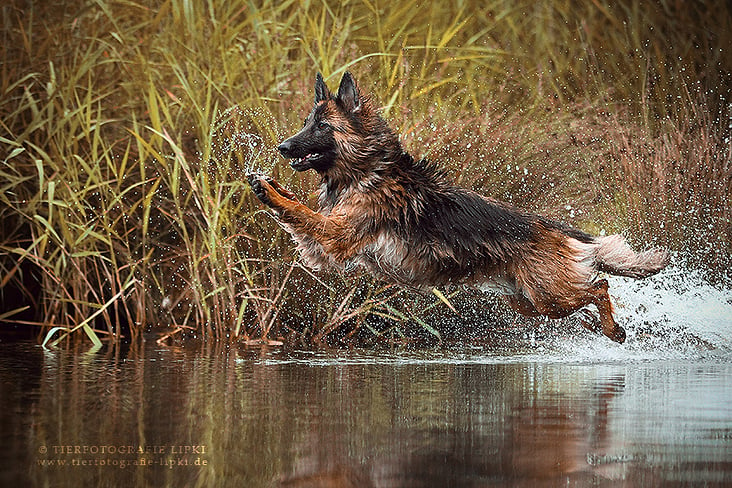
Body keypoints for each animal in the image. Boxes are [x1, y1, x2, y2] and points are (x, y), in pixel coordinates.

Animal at [249, 71, 672, 344]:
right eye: (307, 123)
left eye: (322, 127)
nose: (283, 147)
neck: (367, 169)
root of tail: (554, 227)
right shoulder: (323, 247)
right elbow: (298, 210)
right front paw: (274, 185)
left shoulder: (335, 236)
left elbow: (301, 213)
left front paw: (267, 191)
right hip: (529, 302)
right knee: (588, 295)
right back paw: (595, 326)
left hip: (549, 296)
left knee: (600, 286)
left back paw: (612, 328)